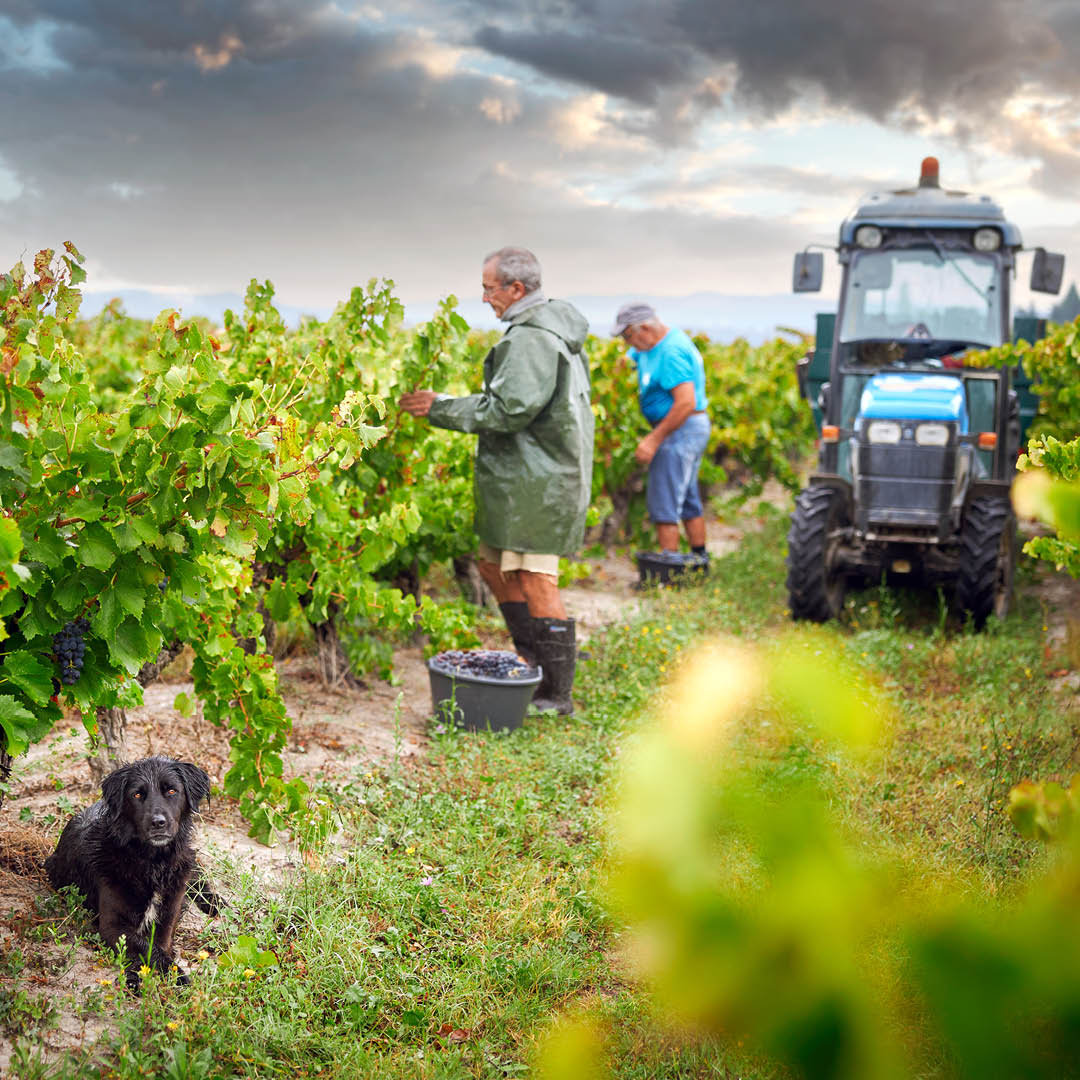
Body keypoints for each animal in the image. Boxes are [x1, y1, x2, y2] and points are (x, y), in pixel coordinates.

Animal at [45, 760, 211, 989]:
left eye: (171, 791)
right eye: (137, 795)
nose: (158, 823)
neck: (153, 863)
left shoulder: (169, 914)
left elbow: (159, 945)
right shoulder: (112, 925)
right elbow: (146, 947)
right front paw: (144, 977)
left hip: (188, 861)